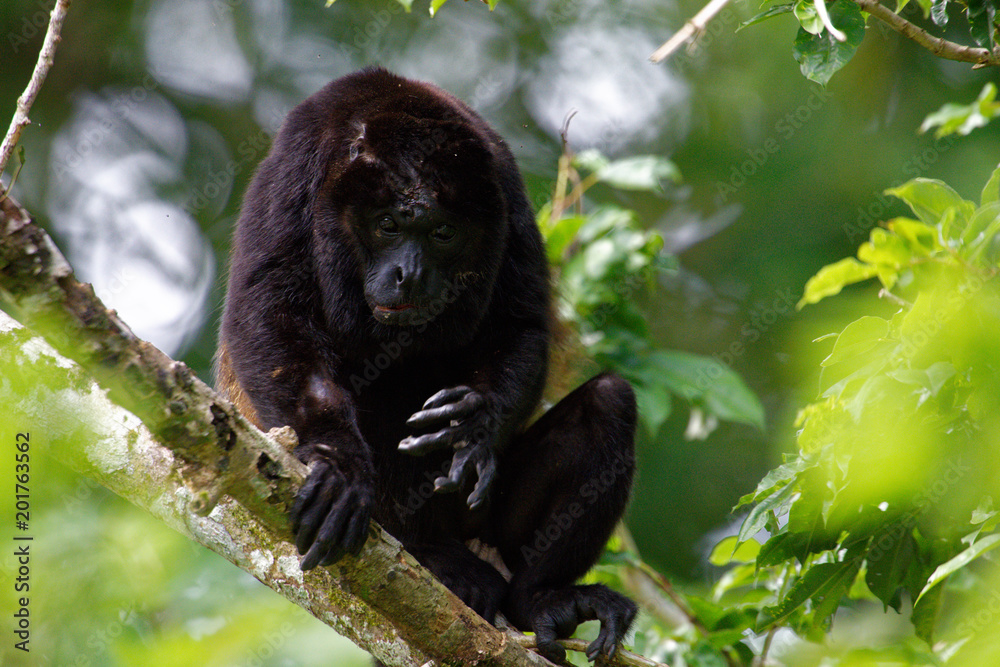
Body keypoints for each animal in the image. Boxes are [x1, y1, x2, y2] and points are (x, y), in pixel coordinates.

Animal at [216, 67, 637, 662]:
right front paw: (336, 462)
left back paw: (541, 599)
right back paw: (428, 555)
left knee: (609, 402)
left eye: (443, 233)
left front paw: (475, 421)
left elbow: (521, 324)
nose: (409, 274)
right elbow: (268, 314)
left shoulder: (503, 183)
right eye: (389, 225)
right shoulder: (295, 165)